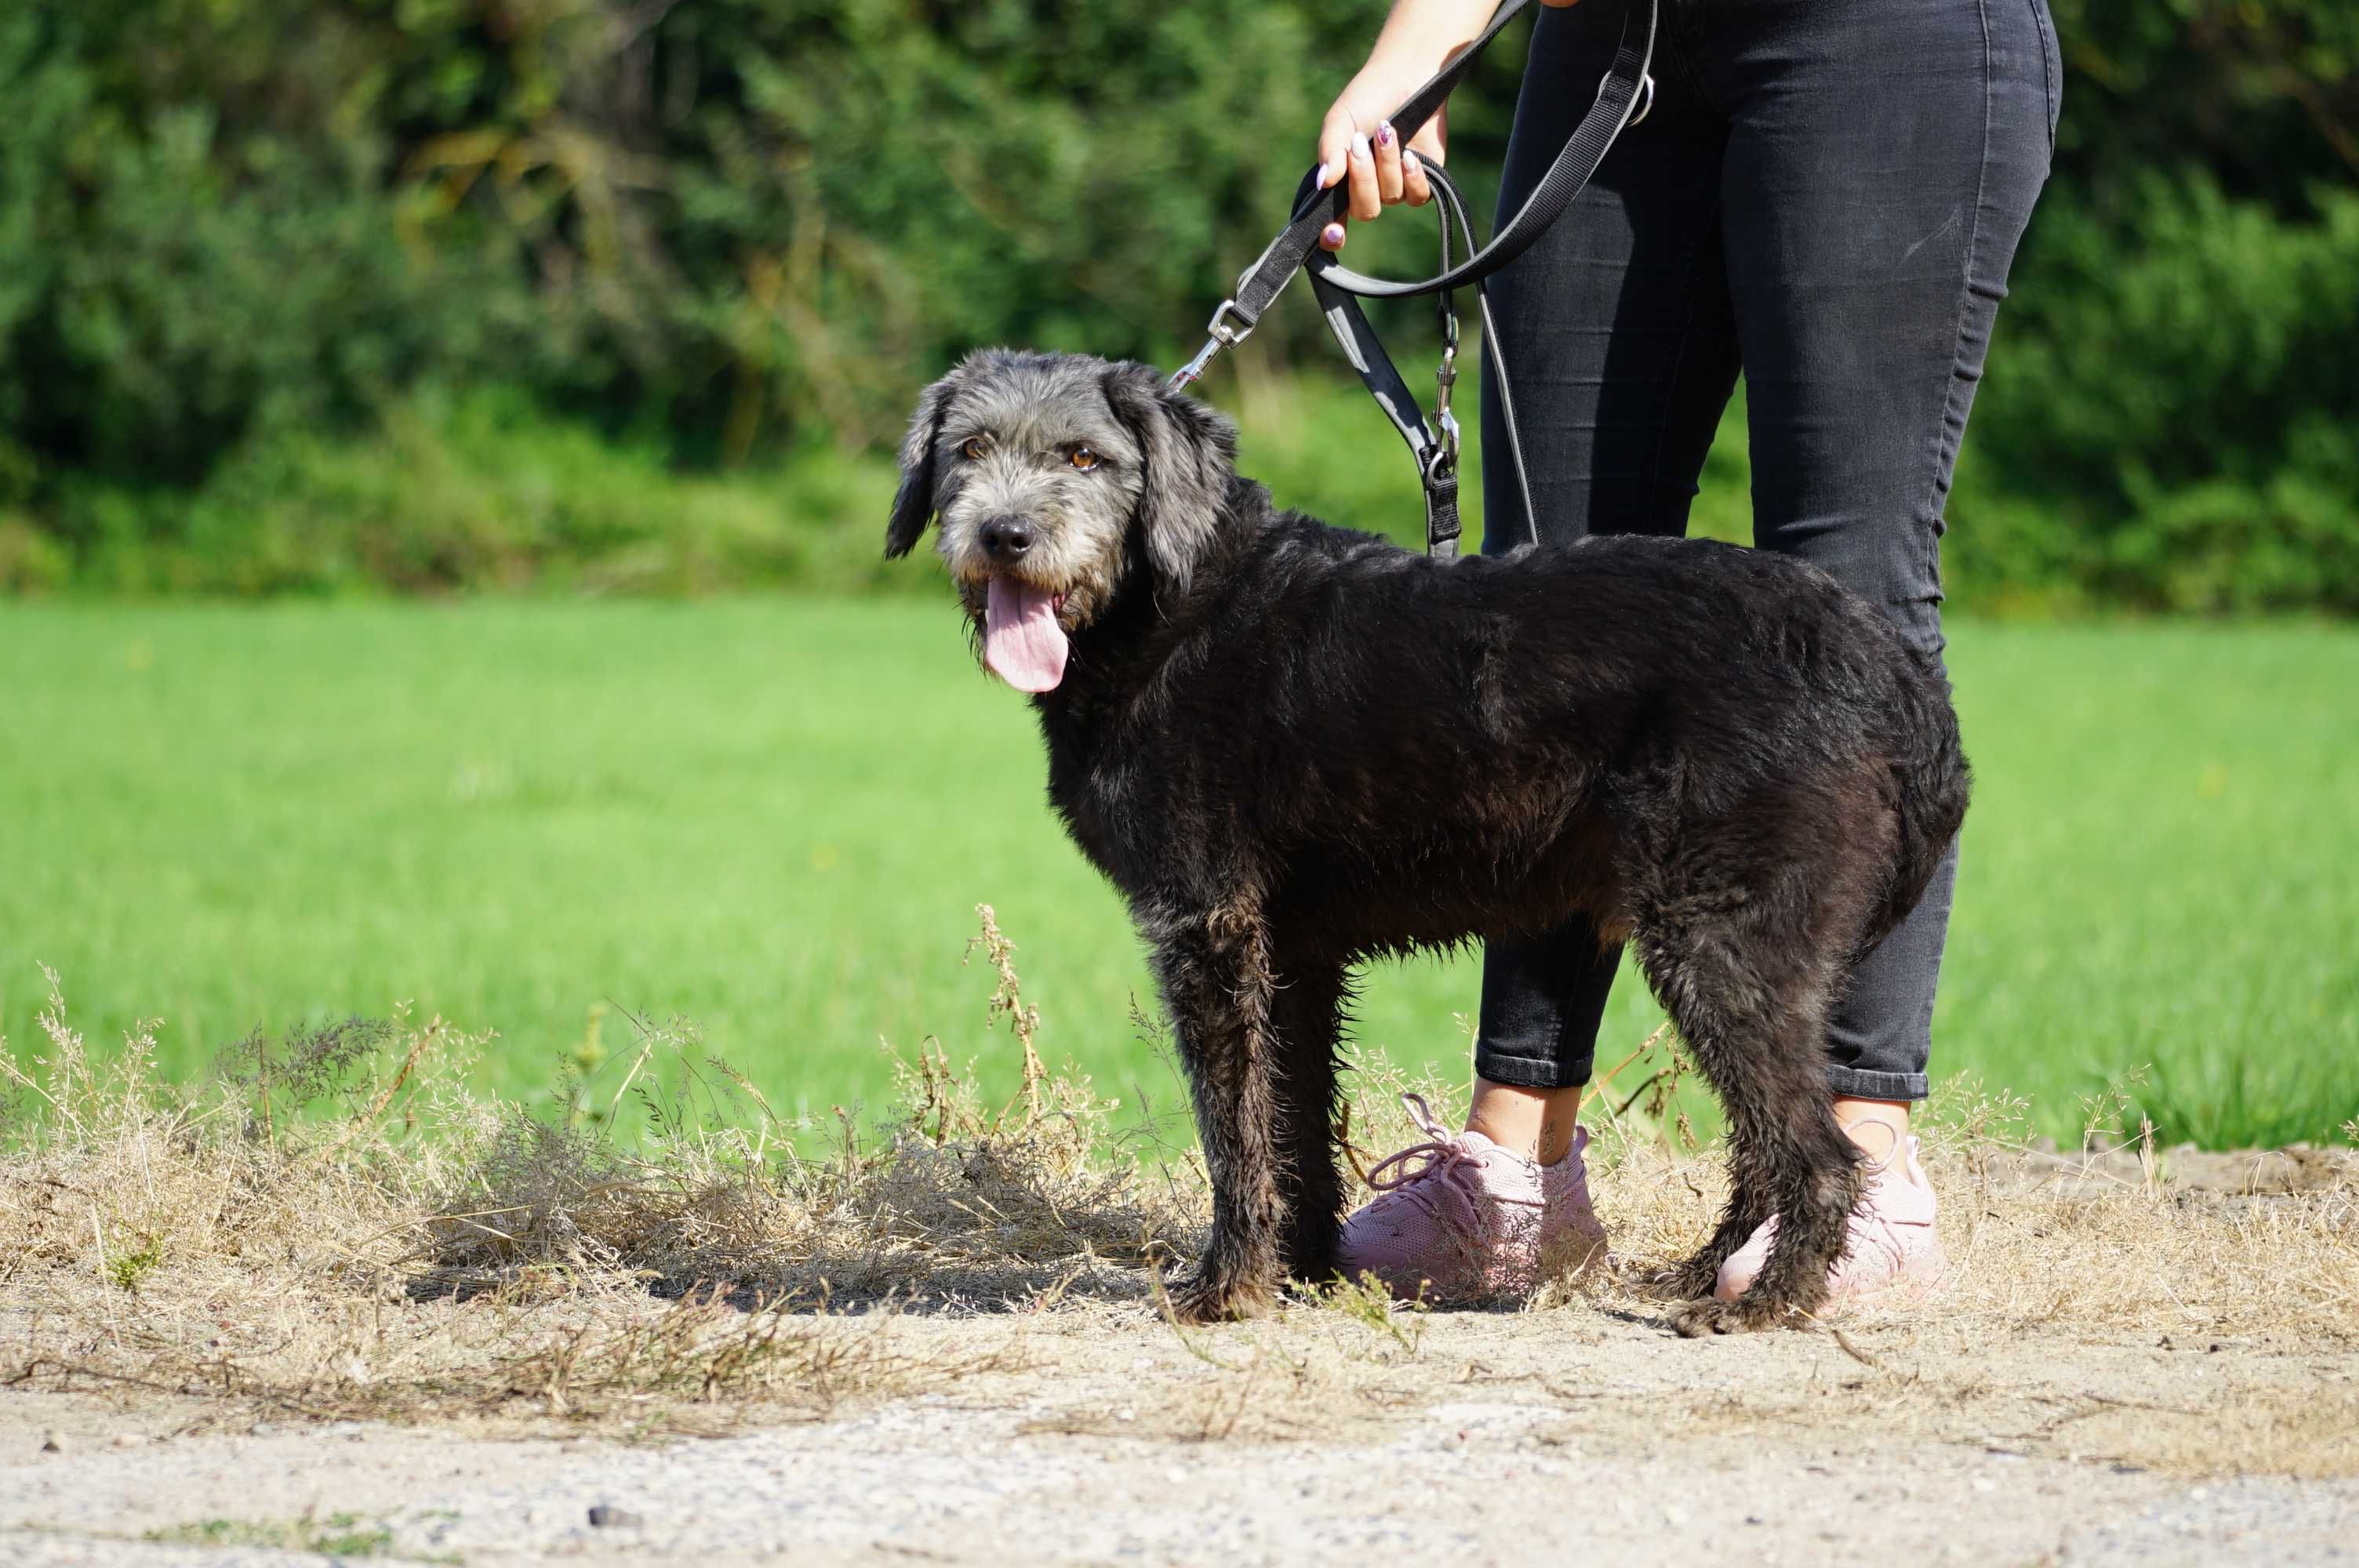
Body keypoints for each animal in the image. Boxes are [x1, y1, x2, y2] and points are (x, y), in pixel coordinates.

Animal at [887, 349, 1972, 1330]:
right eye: (968, 448)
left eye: (1082, 455)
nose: (1003, 534)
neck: (1172, 599)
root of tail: (1887, 663)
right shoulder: (1291, 949)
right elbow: (1290, 1115)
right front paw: (1306, 1271)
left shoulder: (1205, 925)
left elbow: (1232, 1124)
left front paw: (1224, 1288)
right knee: (1765, 1137)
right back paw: (1709, 1272)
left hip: (1721, 936)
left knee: (1818, 1149)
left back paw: (1771, 1298)